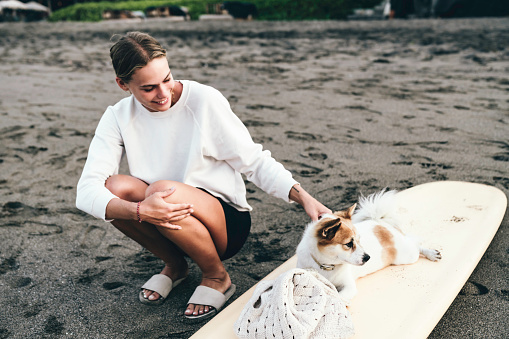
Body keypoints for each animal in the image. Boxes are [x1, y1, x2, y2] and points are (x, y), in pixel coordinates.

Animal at [296, 189, 438, 306]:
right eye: (349, 244)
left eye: (359, 240)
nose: (368, 257)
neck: (326, 265)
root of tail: (379, 221)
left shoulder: (349, 287)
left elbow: (338, 295)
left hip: (407, 256)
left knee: (416, 244)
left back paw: (431, 253)